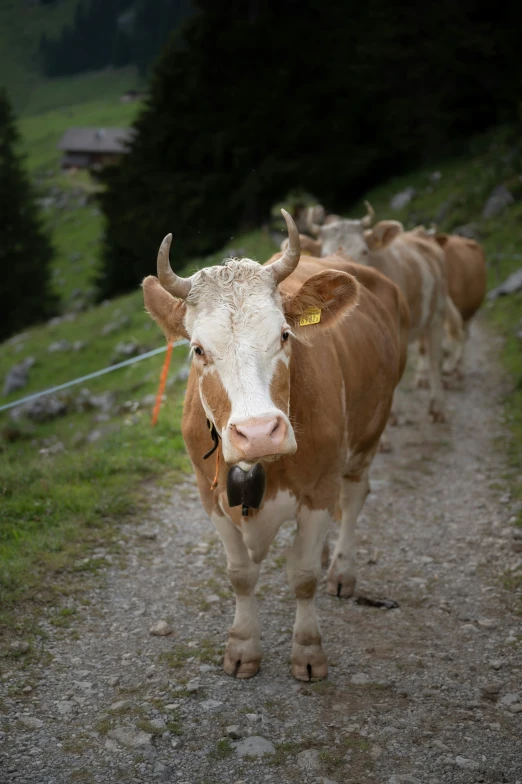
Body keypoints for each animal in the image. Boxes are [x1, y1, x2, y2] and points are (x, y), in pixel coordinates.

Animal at [318, 217, 462, 420]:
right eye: (323, 253)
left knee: (435, 359)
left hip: (437, 315)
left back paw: (438, 407)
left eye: (364, 251)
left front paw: (393, 413)